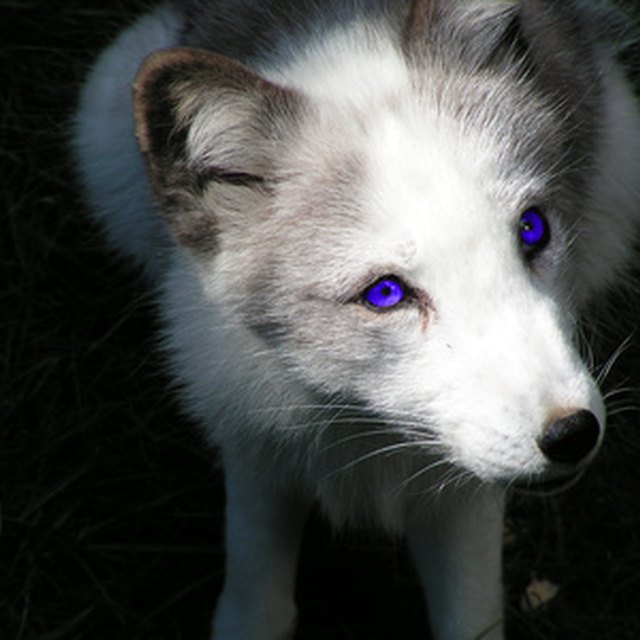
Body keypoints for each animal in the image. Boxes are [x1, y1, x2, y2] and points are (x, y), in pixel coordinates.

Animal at [72, 1, 640, 640]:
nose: (573, 434)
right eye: (386, 293)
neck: (361, 425)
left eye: (532, 229)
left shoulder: (463, 505)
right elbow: (255, 592)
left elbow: (470, 615)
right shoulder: (254, 449)